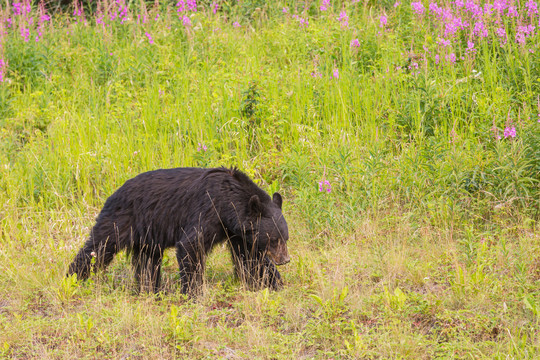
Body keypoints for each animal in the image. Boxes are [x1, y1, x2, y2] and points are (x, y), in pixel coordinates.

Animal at [68, 167, 292, 294]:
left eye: (285, 238)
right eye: (274, 239)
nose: (285, 259)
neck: (228, 203)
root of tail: (113, 193)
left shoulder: (237, 232)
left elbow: (251, 257)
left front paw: (272, 282)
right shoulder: (208, 211)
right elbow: (191, 245)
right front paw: (193, 291)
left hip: (148, 235)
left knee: (148, 262)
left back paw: (149, 289)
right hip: (121, 220)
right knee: (98, 247)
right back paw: (73, 277)